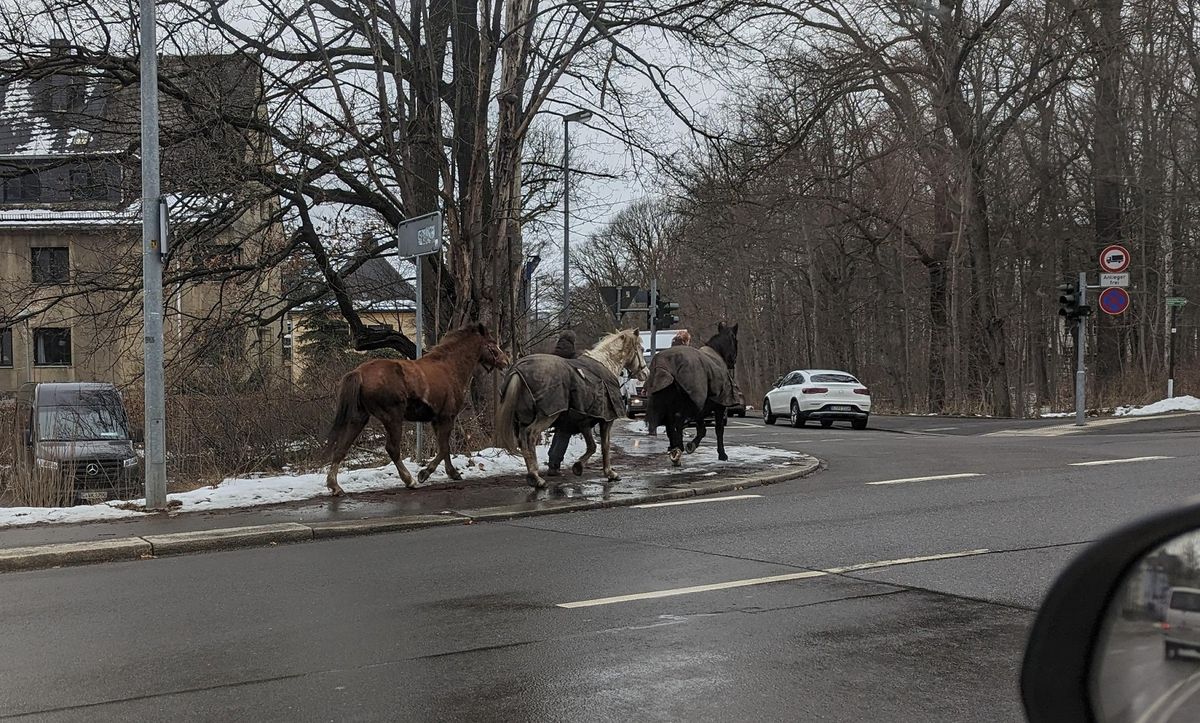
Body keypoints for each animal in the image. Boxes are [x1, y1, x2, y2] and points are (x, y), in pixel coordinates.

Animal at [322, 322, 509, 496]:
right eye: (492, 344)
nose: (505, 361)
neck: (449, 367)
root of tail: (359, 373)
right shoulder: (447, 417)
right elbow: (444, 448)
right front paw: (424, 473)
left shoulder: (436, 420)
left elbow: (445, 447)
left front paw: (453, 473)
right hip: (392, 418)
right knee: (392, 448)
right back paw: (409, 480)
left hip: (359, 418)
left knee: (342, 447)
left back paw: (335, 486)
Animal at [495, 329, 648, 489]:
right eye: (642, 349)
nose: (646, 373)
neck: (606, 364)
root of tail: (517, 370)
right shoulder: (606, 420)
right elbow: (605, 446)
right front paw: (610, 473)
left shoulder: (584, 421)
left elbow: (592, 446)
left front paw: (578, 467)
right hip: (546, 417)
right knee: (530, 435)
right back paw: (536, 478)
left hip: (522, 420)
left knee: (522, 441)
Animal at [644, 322, 739, 466]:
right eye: (735, 340)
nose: (733, 362)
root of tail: (669, 369)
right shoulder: (718, 405)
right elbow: (718, 429)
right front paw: (722, 454)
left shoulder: (700, 406)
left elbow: (702, 429)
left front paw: (691, 445)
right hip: (686, 404)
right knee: (677, 423)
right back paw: (678, 449)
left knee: (670, 425)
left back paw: (674, 449)